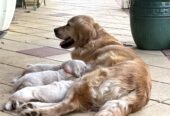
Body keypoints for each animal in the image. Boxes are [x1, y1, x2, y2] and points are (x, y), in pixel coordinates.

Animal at [19, 15, 151, 116]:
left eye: (68, 25)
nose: (55, 29)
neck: (94, 38)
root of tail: (141, 88)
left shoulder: (83, 66)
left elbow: (55, 65)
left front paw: (31, 68)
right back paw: (31, 105)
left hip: (84, 80)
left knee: (67, 105)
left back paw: (36, 110)